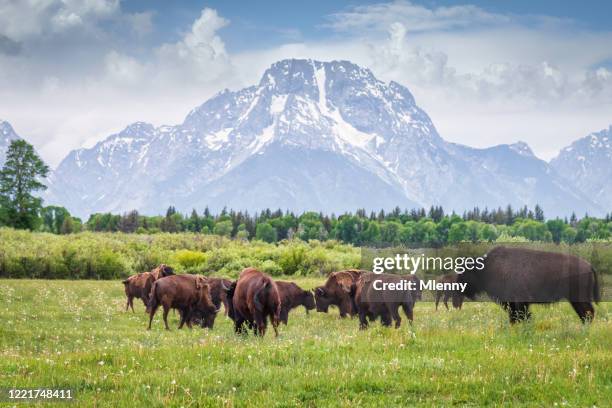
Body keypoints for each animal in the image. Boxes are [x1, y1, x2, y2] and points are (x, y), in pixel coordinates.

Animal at [456, 247, 600, 324]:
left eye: (465, 273)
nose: (458, 288)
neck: (486, 269)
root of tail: (589, 266)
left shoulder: (519, 302)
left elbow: (521, 316)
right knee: (586, 314)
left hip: (578, 298)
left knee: (588, 313)